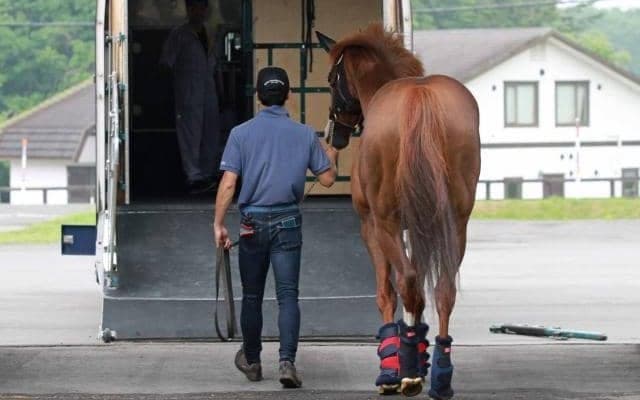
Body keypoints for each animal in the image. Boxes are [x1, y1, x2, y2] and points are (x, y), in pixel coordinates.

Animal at [316, 24, 481, 398]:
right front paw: (419, 357)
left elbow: (387, 293)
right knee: (442, 289)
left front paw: (394, 367)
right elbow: (420, 291)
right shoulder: (419, 228)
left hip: (386, 225)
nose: (335, 136)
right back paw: (440, 376)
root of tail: (420, 98)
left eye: (332, 79)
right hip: (455, 225)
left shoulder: (371, 227)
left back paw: (404, 373)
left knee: (405, 283)